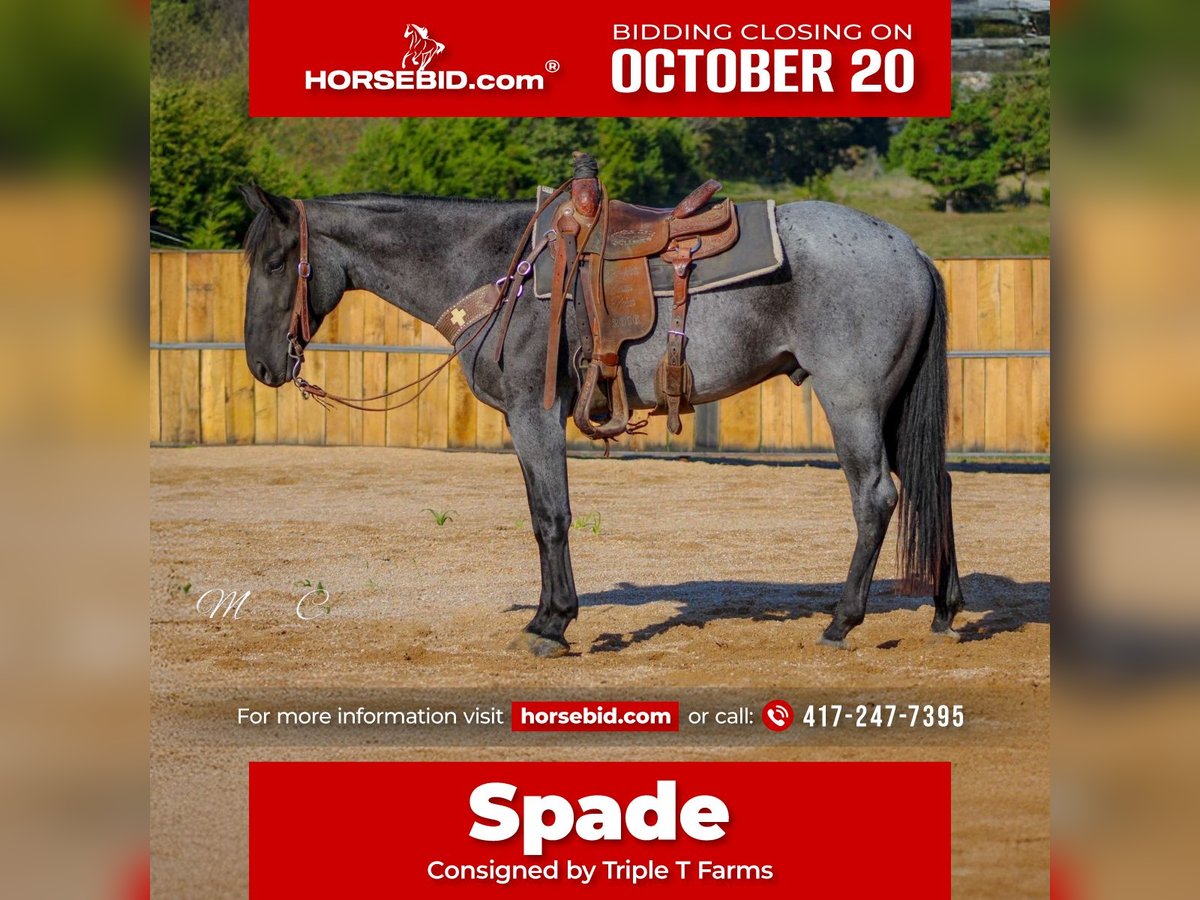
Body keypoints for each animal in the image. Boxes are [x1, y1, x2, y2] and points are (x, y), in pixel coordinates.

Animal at [239, 184, 965, 657]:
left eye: (276, 261)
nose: (262, 365)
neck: (496, 267)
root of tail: (911, 251)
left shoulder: (533, 414)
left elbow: (549, 517)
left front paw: (550, 625)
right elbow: (545, 515)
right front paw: (549, 618)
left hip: (852, 402)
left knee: (876, 497)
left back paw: (843, 621)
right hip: (891, 406)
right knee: (936, 484)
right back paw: (946, 609)